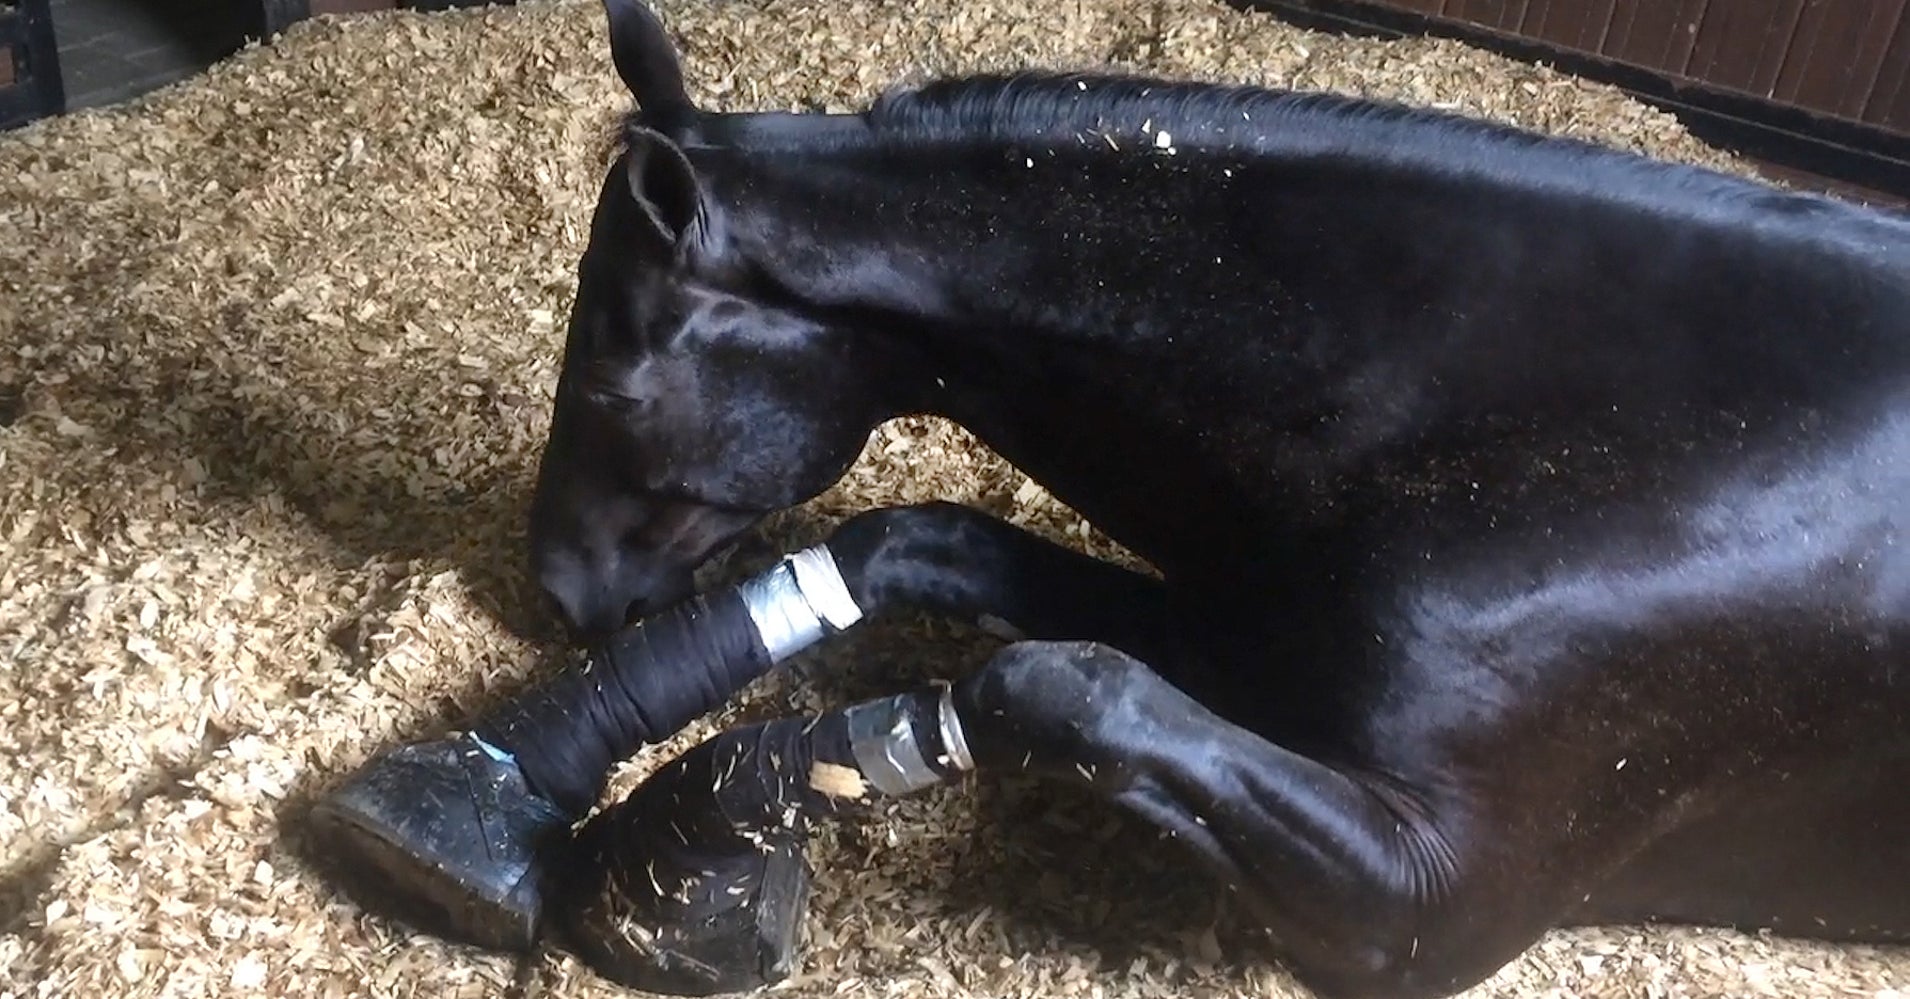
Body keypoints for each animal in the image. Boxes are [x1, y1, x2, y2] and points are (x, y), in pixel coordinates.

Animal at [332, 1, 1910, 997]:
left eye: (608, 372)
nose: (554, 591)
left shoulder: (1433, 899)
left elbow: (1048, 685)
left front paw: (681, 838)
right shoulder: (1242, 630)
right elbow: (924, 547)